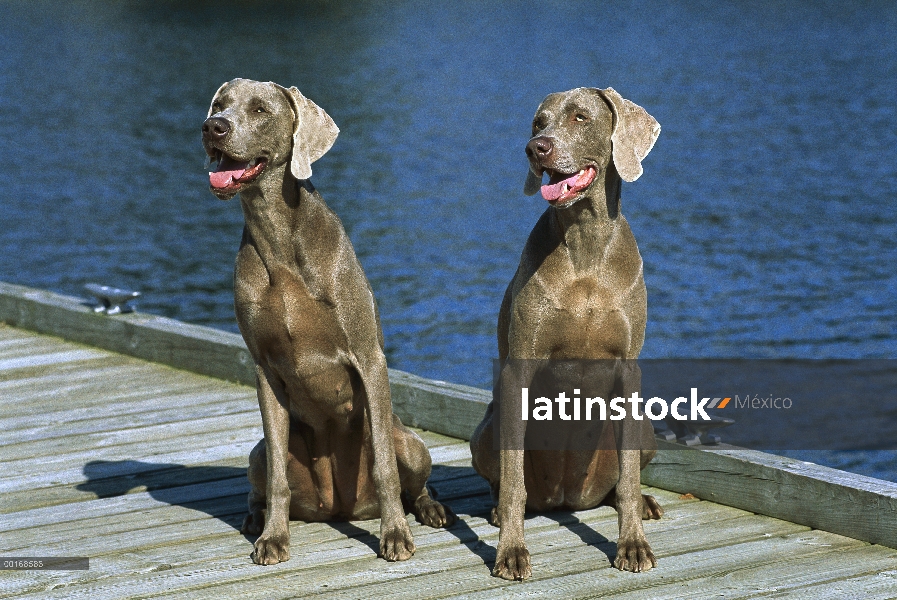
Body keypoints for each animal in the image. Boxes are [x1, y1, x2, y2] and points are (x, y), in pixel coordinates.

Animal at [204, 79, 456, 568]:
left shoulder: (368, 357)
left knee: (413, 478)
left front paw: (395, 536)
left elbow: (384, 468)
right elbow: (279, 478)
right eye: (220, 104)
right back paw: (255, 518)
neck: (277, 237)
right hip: (257, 454)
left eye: (259, 109)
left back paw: (431, 509)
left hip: (410, 443)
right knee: (264, 476)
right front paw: (273, 539)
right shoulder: (264, 369)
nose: (214, 128)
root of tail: (337, 508)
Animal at [468, 86, 664, 580]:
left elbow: (629, 478)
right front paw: (510, 552)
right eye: (538, 122)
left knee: (620, 484)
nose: (536, 148)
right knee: (505, 481)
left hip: (646, 427)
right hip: (487, 429)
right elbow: (513, 483)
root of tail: (567, 498)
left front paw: (633, 545)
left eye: (580, 117)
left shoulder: (629, 371)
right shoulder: (517, 373)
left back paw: (644, 503)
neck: (585, 243)